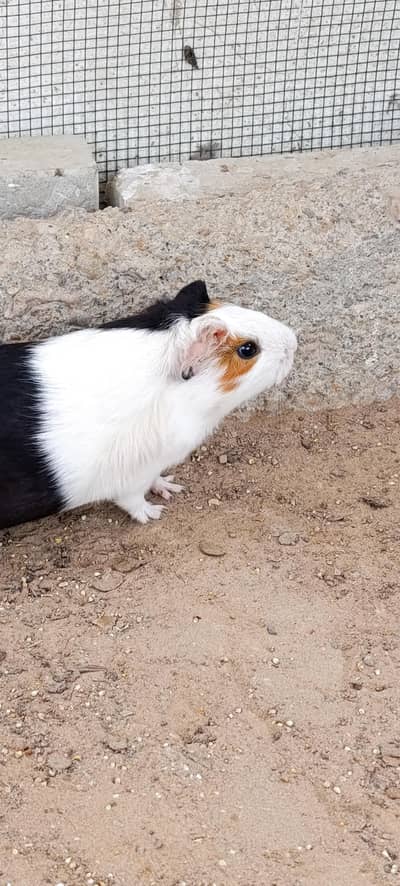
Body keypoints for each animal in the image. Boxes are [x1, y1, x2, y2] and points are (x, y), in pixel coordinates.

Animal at [0, 280, 297, 529]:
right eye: (248, 349)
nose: (293, 341)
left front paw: (170, 487)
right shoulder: (133, 477)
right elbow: (133, 501)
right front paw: (155, 512)